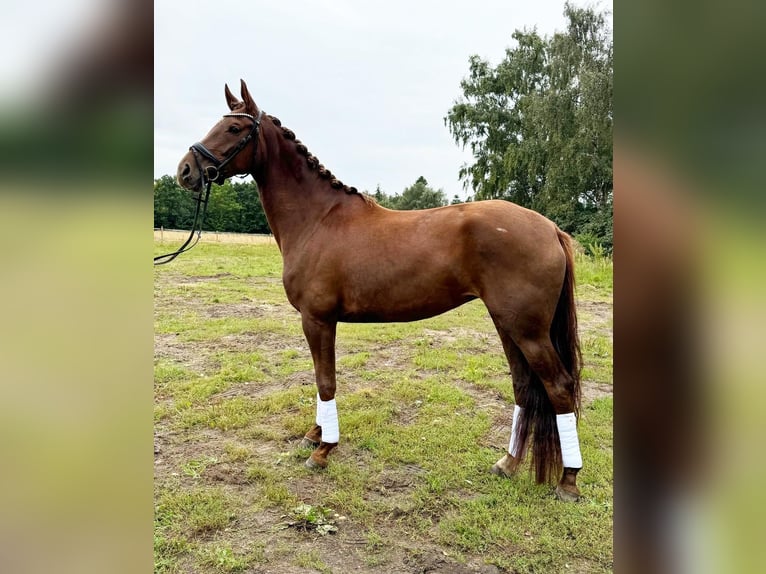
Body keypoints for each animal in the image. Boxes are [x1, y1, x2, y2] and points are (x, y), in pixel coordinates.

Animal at [177, 79, 584, 502]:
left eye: (234, 128)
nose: (185, 171)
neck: (317, 220)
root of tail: (549, 228)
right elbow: (319, 378)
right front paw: (314, 435)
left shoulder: (318, 319)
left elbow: (325, 381)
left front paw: (323, 450)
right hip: (508, 324)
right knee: (525, 388)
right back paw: (508, 464)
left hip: (528, 331)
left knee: (558, 387)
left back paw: (568, 481)